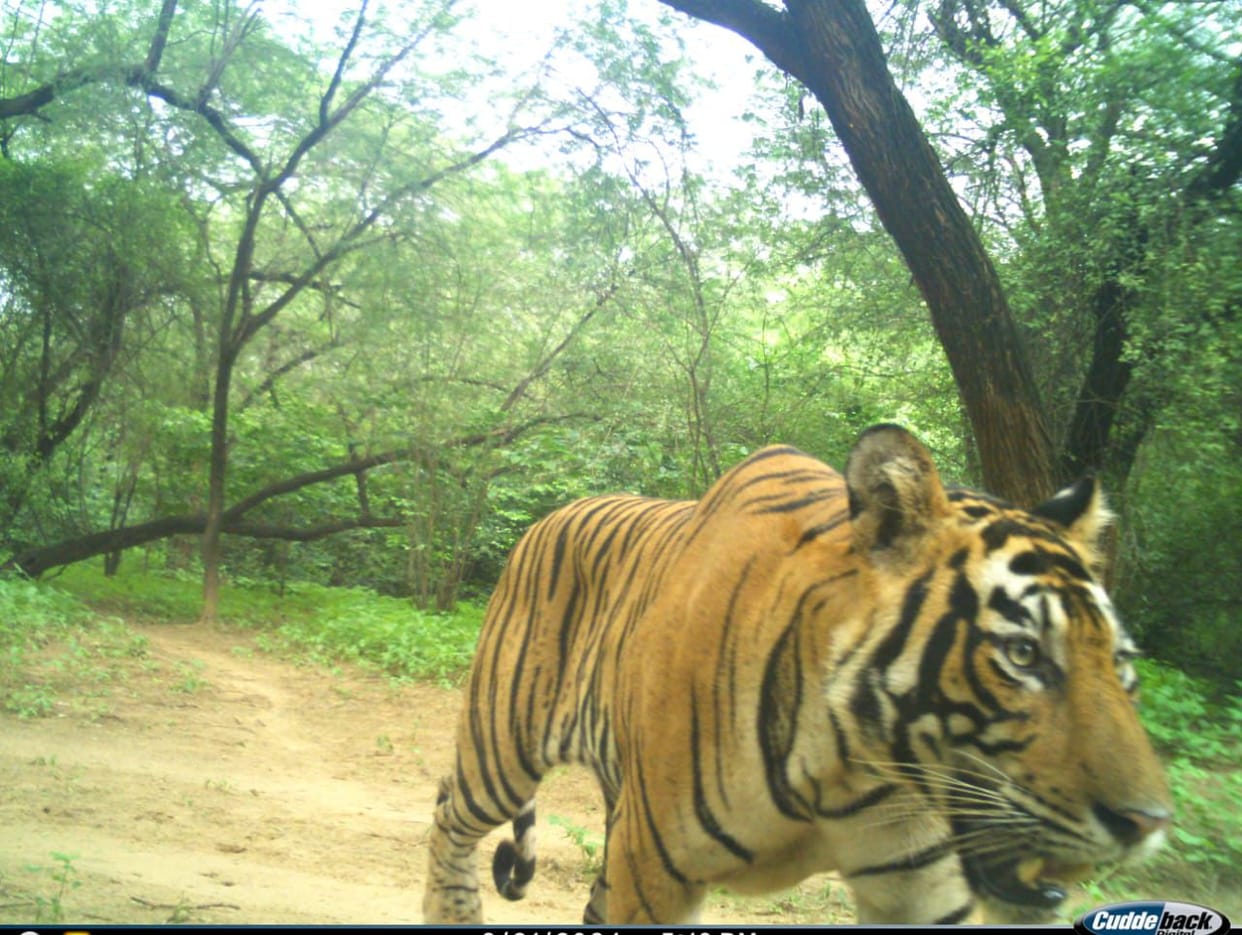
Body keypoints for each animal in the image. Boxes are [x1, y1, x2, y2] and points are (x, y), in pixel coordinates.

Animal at [422, 424, 1172, 924]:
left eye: (1120, 662)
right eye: (1023, 654)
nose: (1147, 822)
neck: (845, 765)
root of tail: (552, 513)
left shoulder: (919, 888)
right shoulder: (654, 872)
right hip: (503, 743)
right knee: (449, 811)